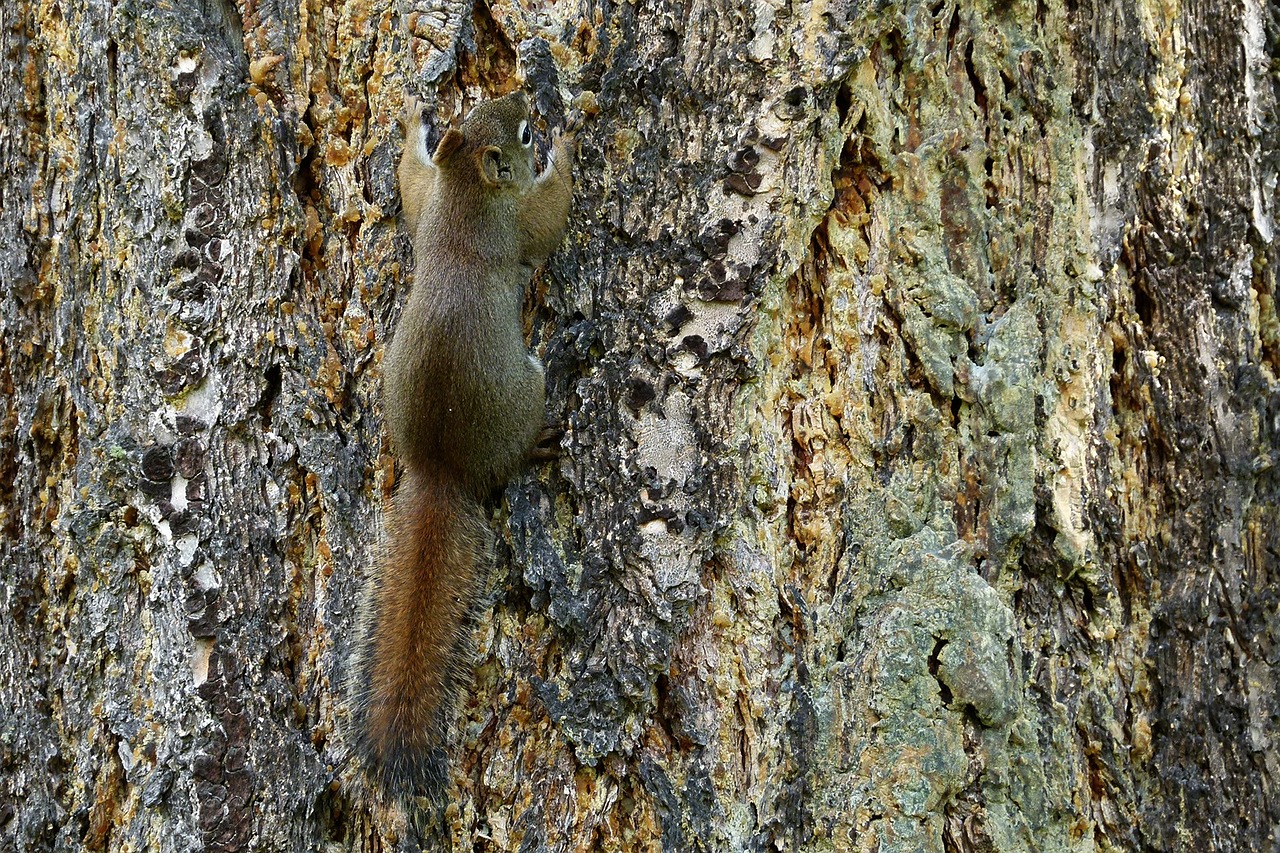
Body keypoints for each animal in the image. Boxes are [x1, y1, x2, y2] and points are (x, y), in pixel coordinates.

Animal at [348, 91, 573, 788]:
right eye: (523, 132)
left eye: (485, 107)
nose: (527, 96)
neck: (468, 197)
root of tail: (440, 468)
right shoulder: (521, 223)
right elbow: (552, 214)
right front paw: (572, 136)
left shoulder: (428, 208)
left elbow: (410, 186)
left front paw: (411, 127)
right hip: (526, 393)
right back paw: (537, 443)